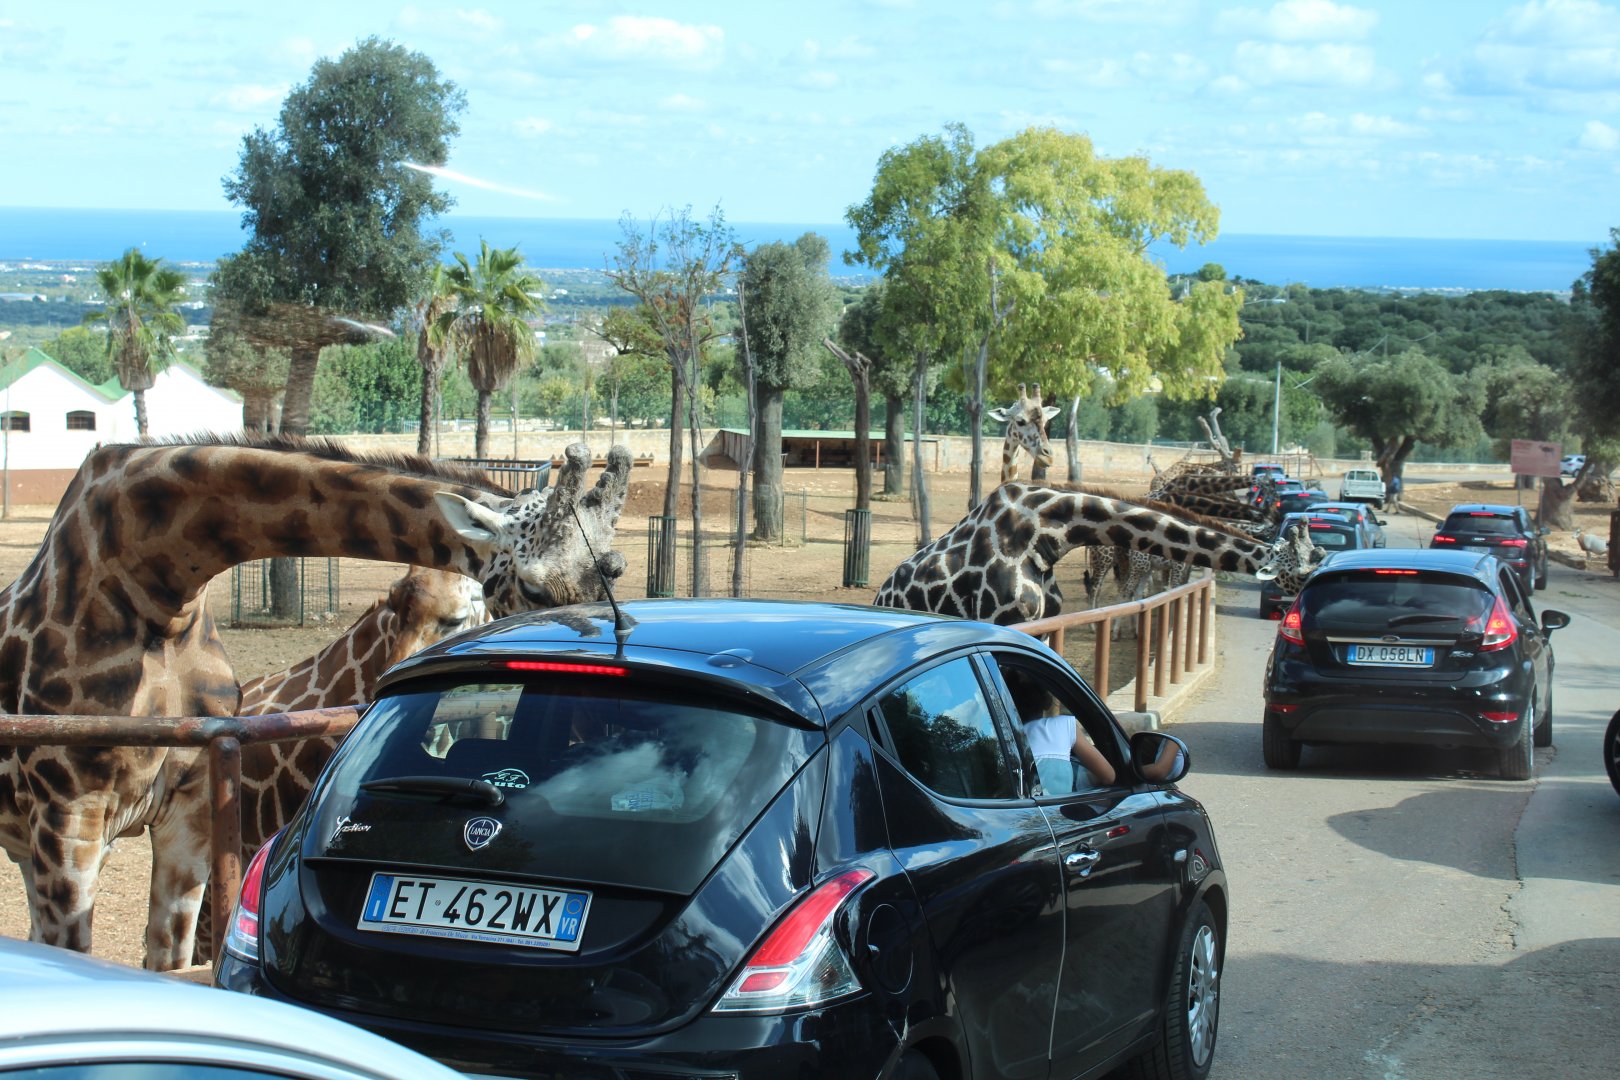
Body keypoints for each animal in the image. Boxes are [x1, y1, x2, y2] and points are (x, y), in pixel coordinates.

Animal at [0, 435, 629, 969]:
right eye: (536, 589)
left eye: (615, 572)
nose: (596, 723)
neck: (153, 580)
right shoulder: (69, 815)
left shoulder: (189, 816)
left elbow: (170, 965)